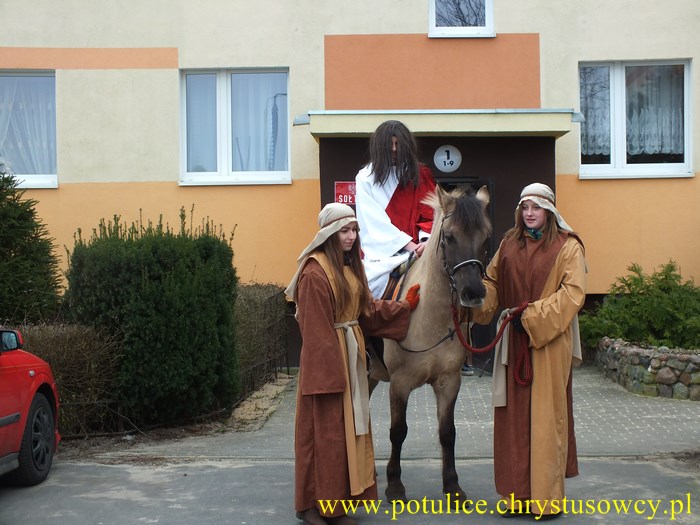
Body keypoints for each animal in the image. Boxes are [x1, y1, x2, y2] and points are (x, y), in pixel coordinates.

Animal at [368, 184, 491, 503]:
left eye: (485, 236)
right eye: (449, 237)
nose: (473, 292)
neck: (430, 315)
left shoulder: (448, 381)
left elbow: (448, 432)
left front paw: (452, 485)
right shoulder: (400, 383)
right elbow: (398, 431)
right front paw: (395, 485)